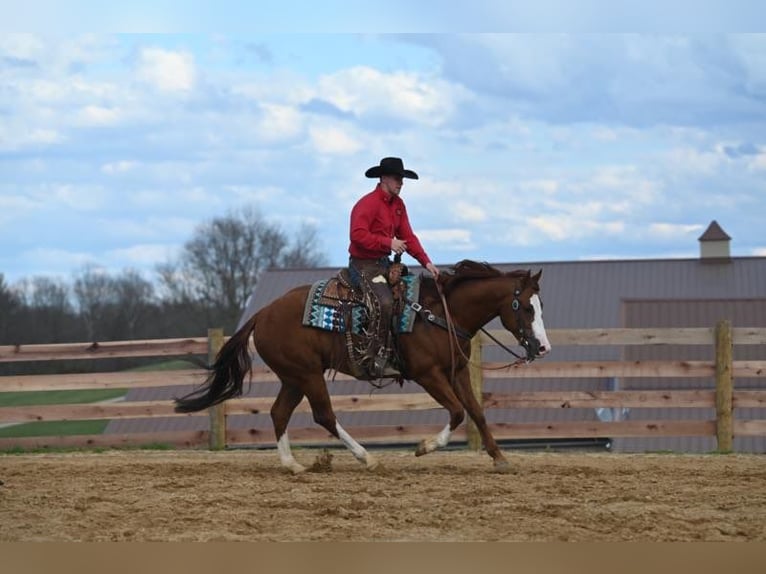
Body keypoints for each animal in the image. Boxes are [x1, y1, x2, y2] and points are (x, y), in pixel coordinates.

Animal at [178, 260, 552, 472]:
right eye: (527, 307)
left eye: (540, 305)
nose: (543, 347)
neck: (440, 314)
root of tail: (263, 314)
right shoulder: (428, 375)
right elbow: (458, 412)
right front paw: (424, 447)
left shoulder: (456, 372)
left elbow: (476, 411)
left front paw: (499, 458)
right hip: (307, 375)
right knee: (324, 416)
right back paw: (366, 458)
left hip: (294, 377)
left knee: (279, 413)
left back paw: (292, 465)